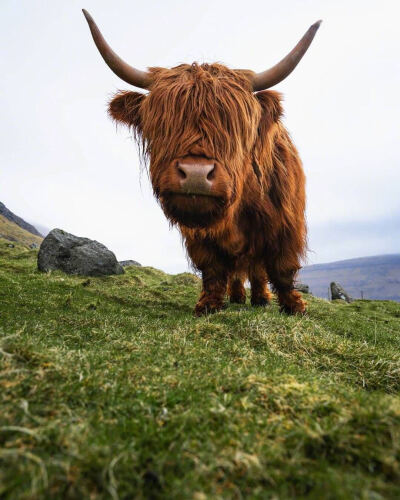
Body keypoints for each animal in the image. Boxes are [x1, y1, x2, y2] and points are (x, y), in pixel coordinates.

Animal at [83, 9, 320, 316]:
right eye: (163, 123)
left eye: (235, 125)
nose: (195, 174)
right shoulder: (199, 236)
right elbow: (213, 268)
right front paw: (209, 304)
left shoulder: (286, 224)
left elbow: (282, 267)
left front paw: (294, 306)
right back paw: (237, 296)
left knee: (256, 269)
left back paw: (260, 298)